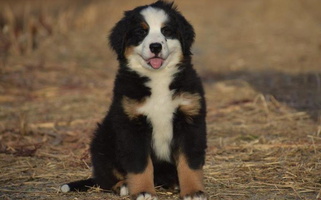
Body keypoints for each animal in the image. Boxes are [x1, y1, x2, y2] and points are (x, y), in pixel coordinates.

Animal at [61, 0, 206, 199]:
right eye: (141, 32)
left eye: (166, 31)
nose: (155, 47)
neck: (158, 78)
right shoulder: (131, 125)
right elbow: (140, 165)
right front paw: (143, 191)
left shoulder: (189, 119)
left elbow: (189, 162)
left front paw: (192, 191)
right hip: (102, 141)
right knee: (106, 178)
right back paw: (123, 185)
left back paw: (174, 183)